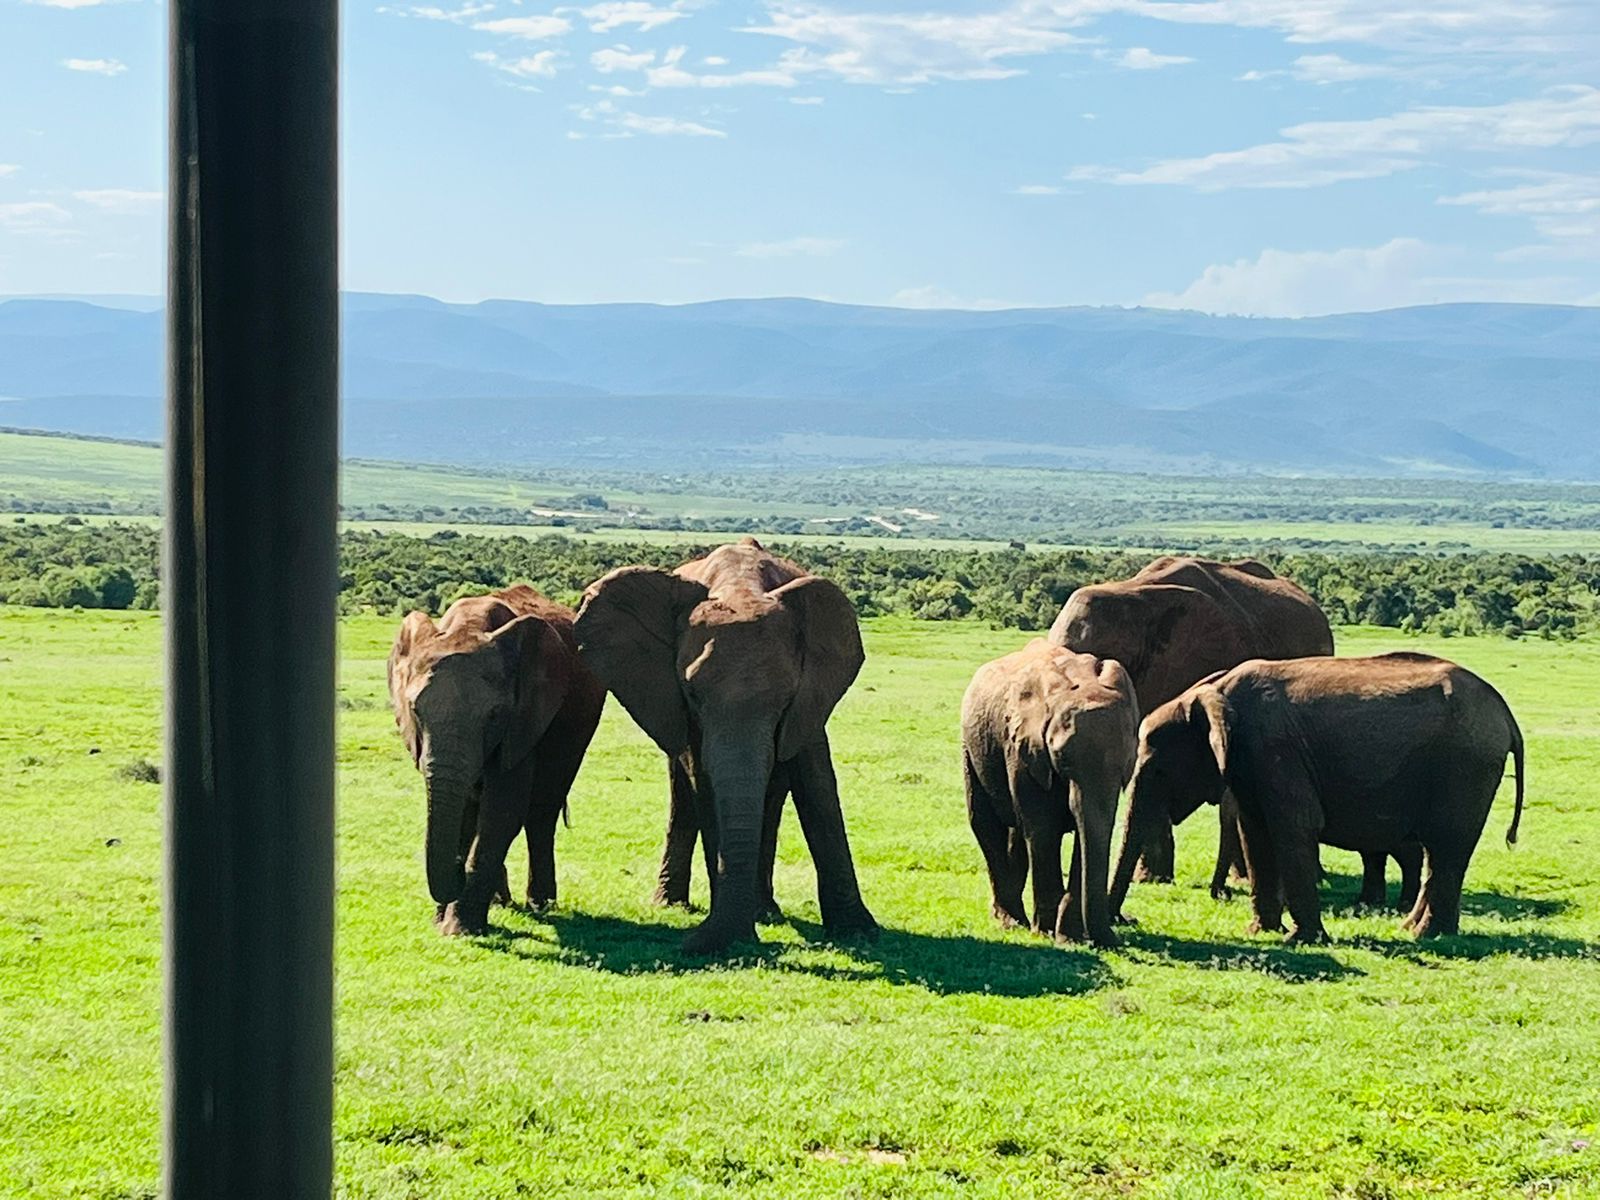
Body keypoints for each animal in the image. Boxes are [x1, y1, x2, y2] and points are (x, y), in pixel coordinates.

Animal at [388, 584, 606, 936]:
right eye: (416, 711)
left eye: (494, 715)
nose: (457, 875)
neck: (468, 627)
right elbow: (464, 812)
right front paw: (444, 920)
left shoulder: (523, 716)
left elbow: (502, 809)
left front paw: (459, 929)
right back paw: (501, 902)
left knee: (541, 812)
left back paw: (540, 904)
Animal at [574, 538, 878, 954]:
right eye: (692, 694)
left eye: (785, 698)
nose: (691, 945)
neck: (740, 588)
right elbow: (705, 785)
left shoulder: (811, 697)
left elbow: (817, 784)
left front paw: (859, 933)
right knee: (683, 792)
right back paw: (677, 905)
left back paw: (765, 911)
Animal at [961, 640, 1138, 948]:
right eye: (1062, 760)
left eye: (1126, 765)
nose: (1114, 941)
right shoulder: (1022, 748)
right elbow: (1042, 828)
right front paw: (1046, 933)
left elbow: (1087, 831)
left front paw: (1069, 936)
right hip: (971, 749)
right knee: (984, 823)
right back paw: (1010, 921)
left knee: (1016, 832)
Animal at [1109, 652, 1526, 942]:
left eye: (1159, 771)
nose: (1128, 920)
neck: (1214, 693)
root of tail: (1506, 714)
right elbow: (1255, 833)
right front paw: (1260, 933)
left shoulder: (1276, 751)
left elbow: (1293, 828)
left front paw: (1300, 940)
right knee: (1438, 853)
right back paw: (1413, 928)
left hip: (1465, 766)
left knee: (1447, 847)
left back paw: (1425, 934)